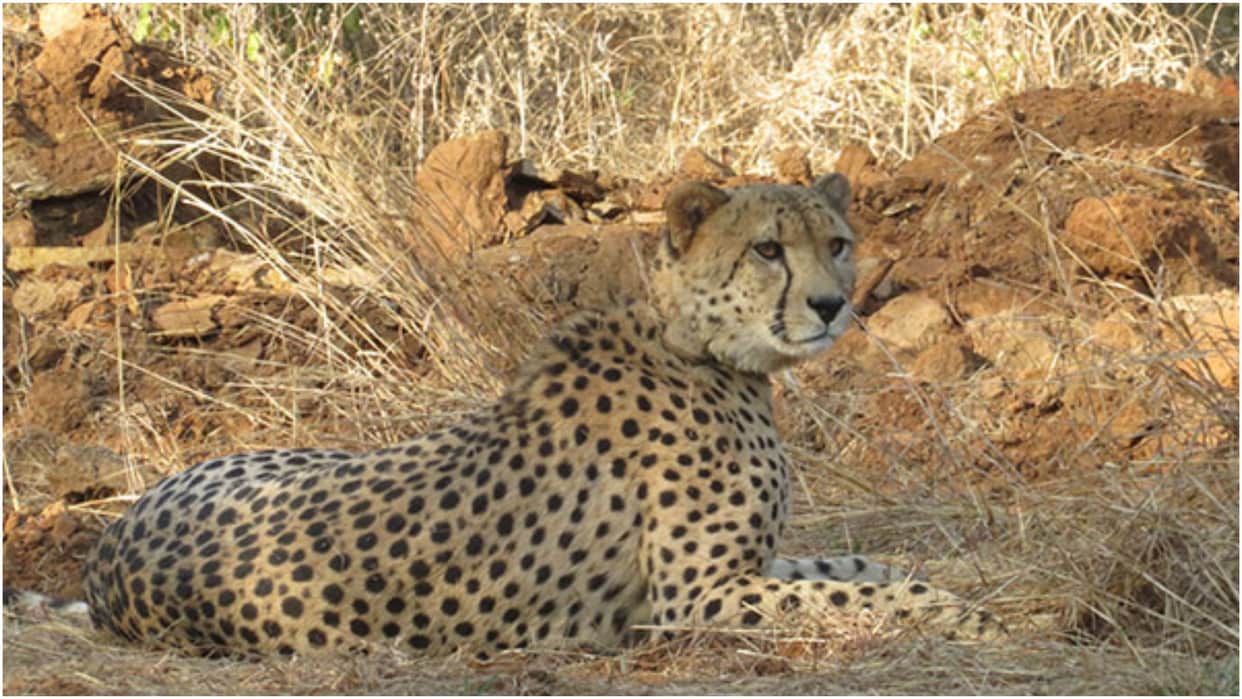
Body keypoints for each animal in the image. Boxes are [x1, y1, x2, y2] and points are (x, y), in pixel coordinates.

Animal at [80, 173, 1004, 659]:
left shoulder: (749, 566)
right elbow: (852, 594)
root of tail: (105, 555)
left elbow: (861, 566)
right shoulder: (691, 597)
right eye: (768, 250)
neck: (700, 347)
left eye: (837, 242)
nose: (830, 304)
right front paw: (964, 617)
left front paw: (947, 593)